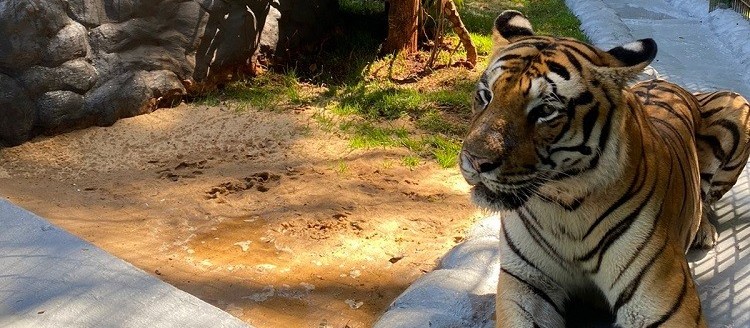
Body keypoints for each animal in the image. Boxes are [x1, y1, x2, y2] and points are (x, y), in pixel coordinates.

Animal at [458, 10, 750, 328]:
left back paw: (704, 231)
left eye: (545, 111)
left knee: (706, 197)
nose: (474, 160)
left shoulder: (662, 302)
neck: (562, 205)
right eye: (486, 95)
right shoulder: (526, 282)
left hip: (737, 106)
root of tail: (669, 84)